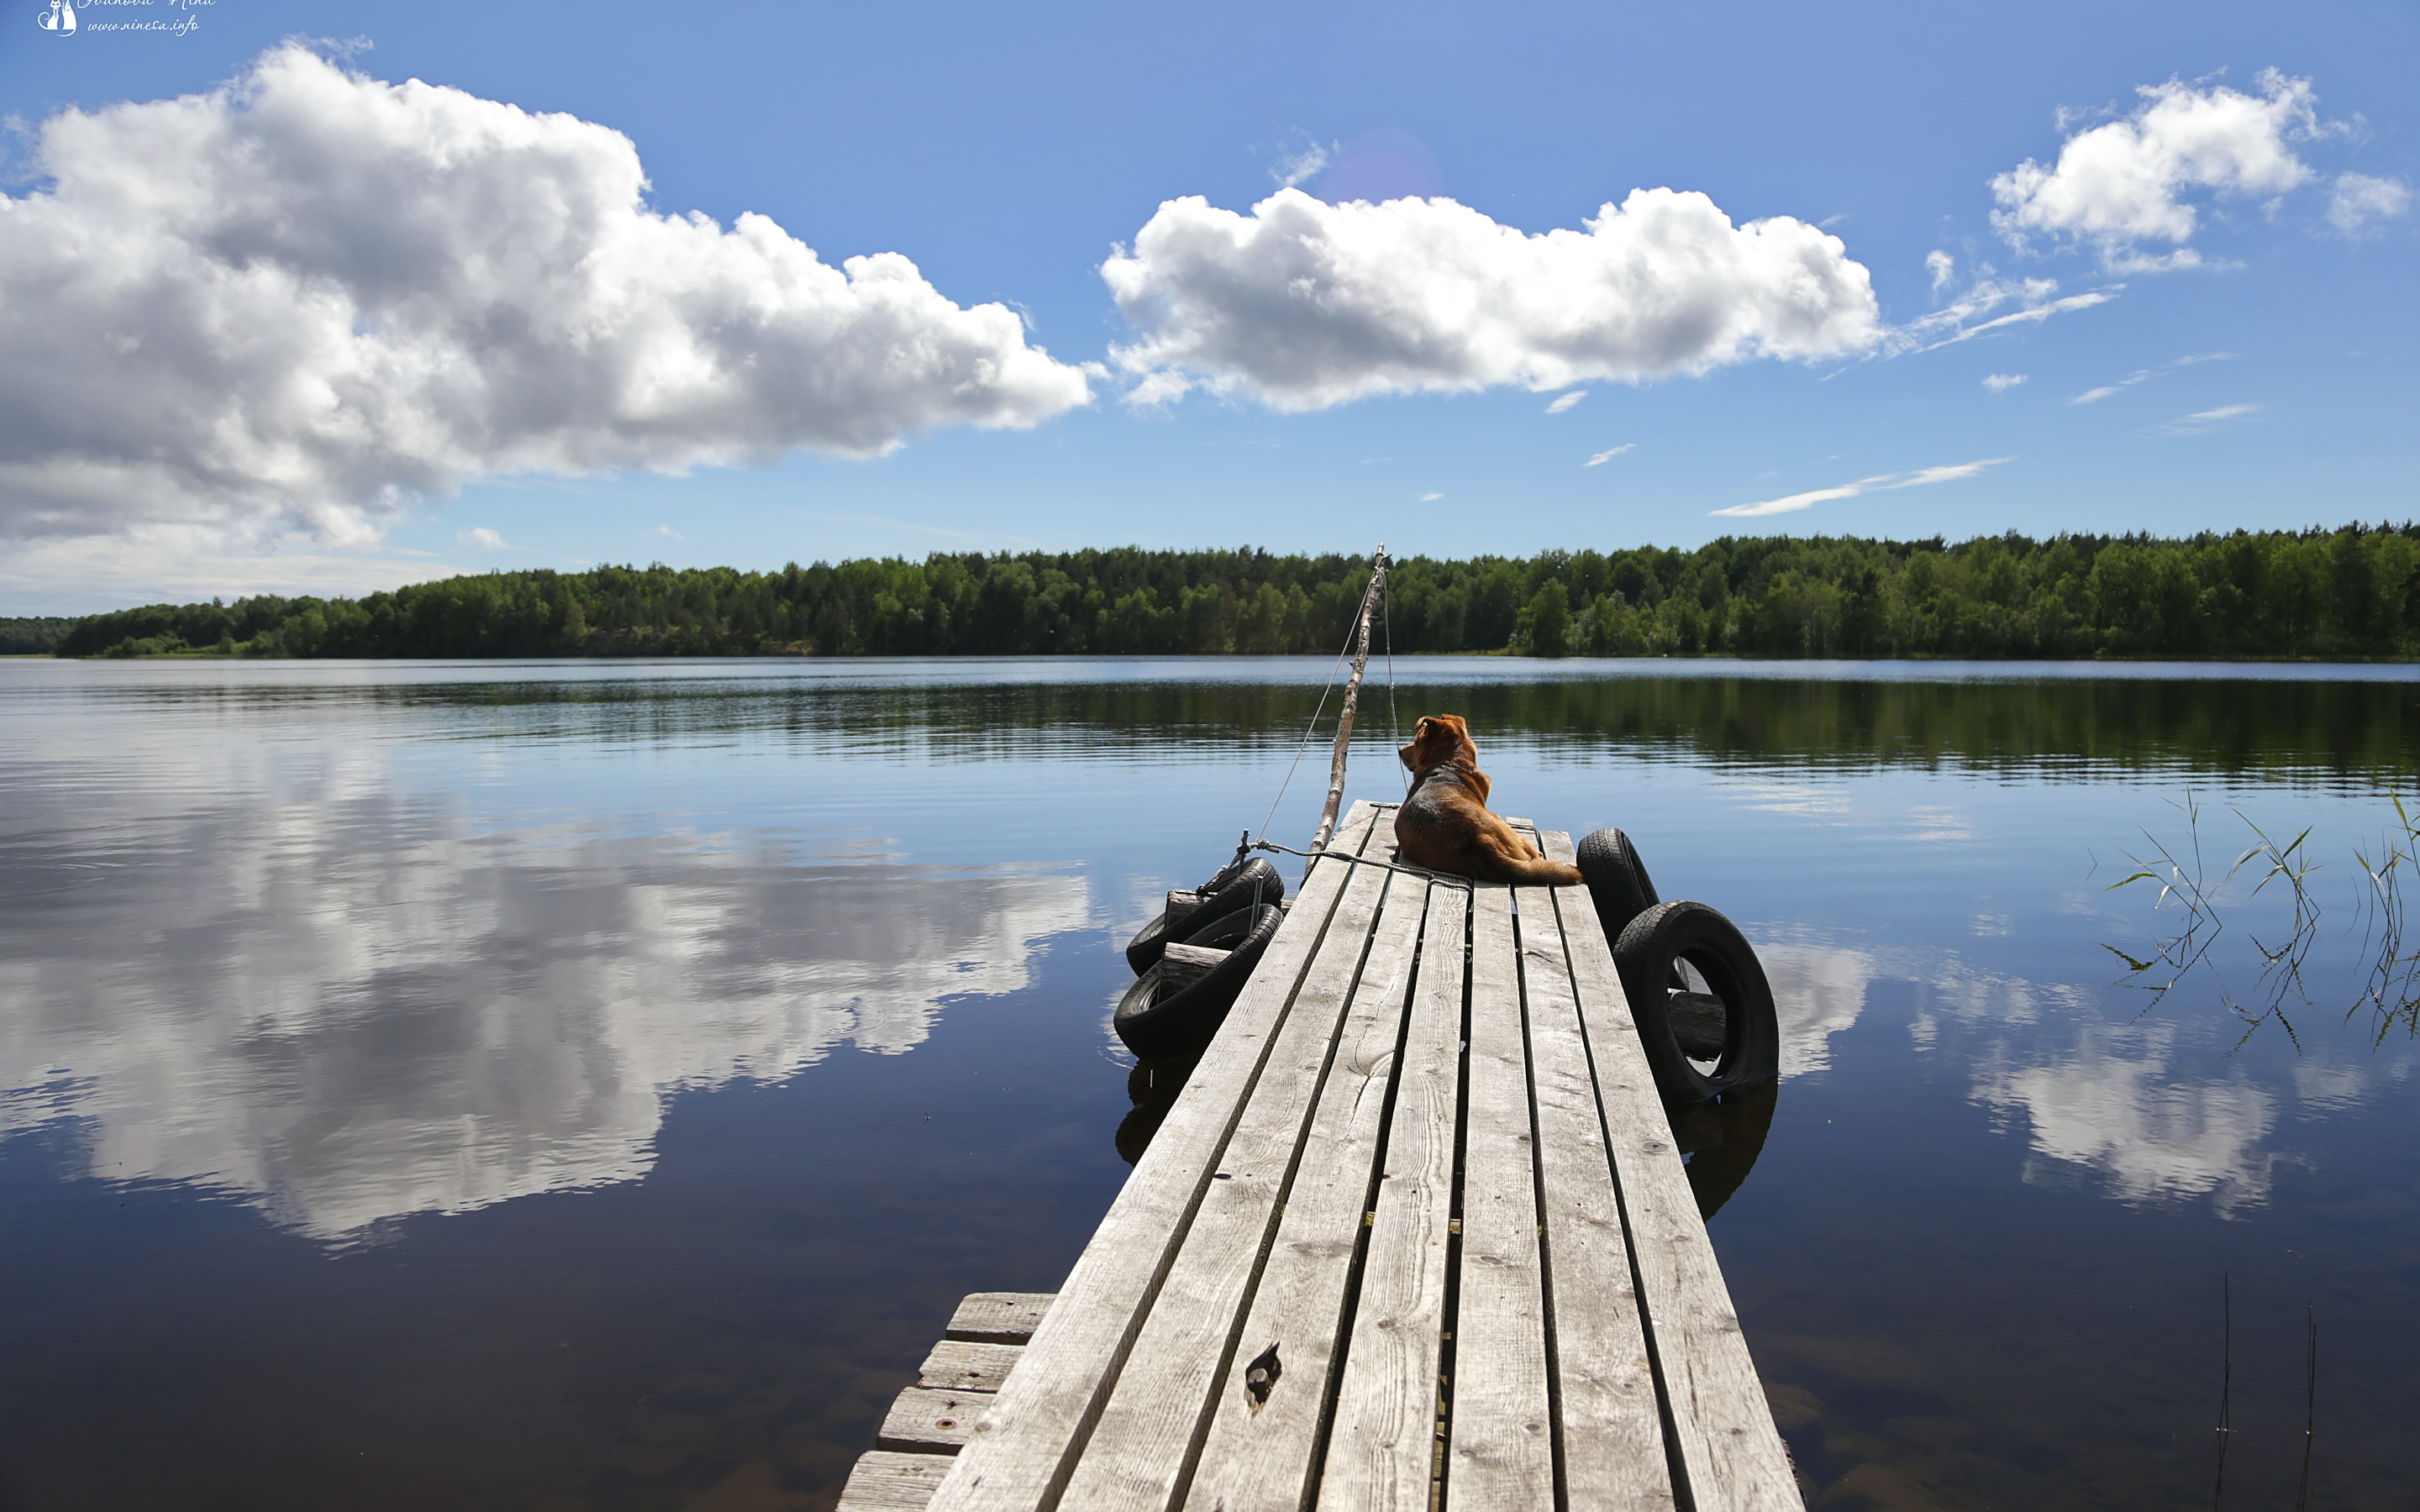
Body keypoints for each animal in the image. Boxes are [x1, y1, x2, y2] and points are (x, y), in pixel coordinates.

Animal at [1403, 716, 1587, 885]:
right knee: (1536, 859)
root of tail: (1479, 841)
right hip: (1513, 834)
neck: (1449, 761)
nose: (1400, 751)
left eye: (1416, 741)